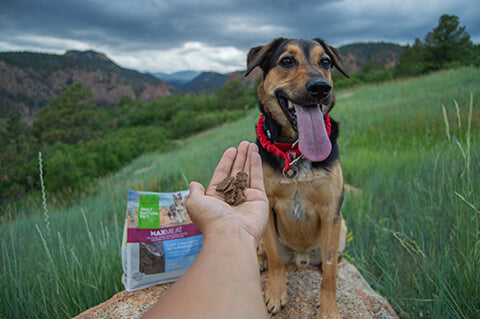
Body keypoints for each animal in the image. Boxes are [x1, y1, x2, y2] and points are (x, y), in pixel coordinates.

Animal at [246, 38, 350, 319]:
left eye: (325, 62)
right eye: (286, 61)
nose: (320, 88)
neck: (295, 149)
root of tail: (301, 258)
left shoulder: (331, 211)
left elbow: (330, 274)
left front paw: (329, 309)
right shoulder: (268, 207)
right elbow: (275, 259)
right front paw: (276, 293)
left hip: (342, 226)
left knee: (331, 260)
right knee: (265, 251)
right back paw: (260, 261)